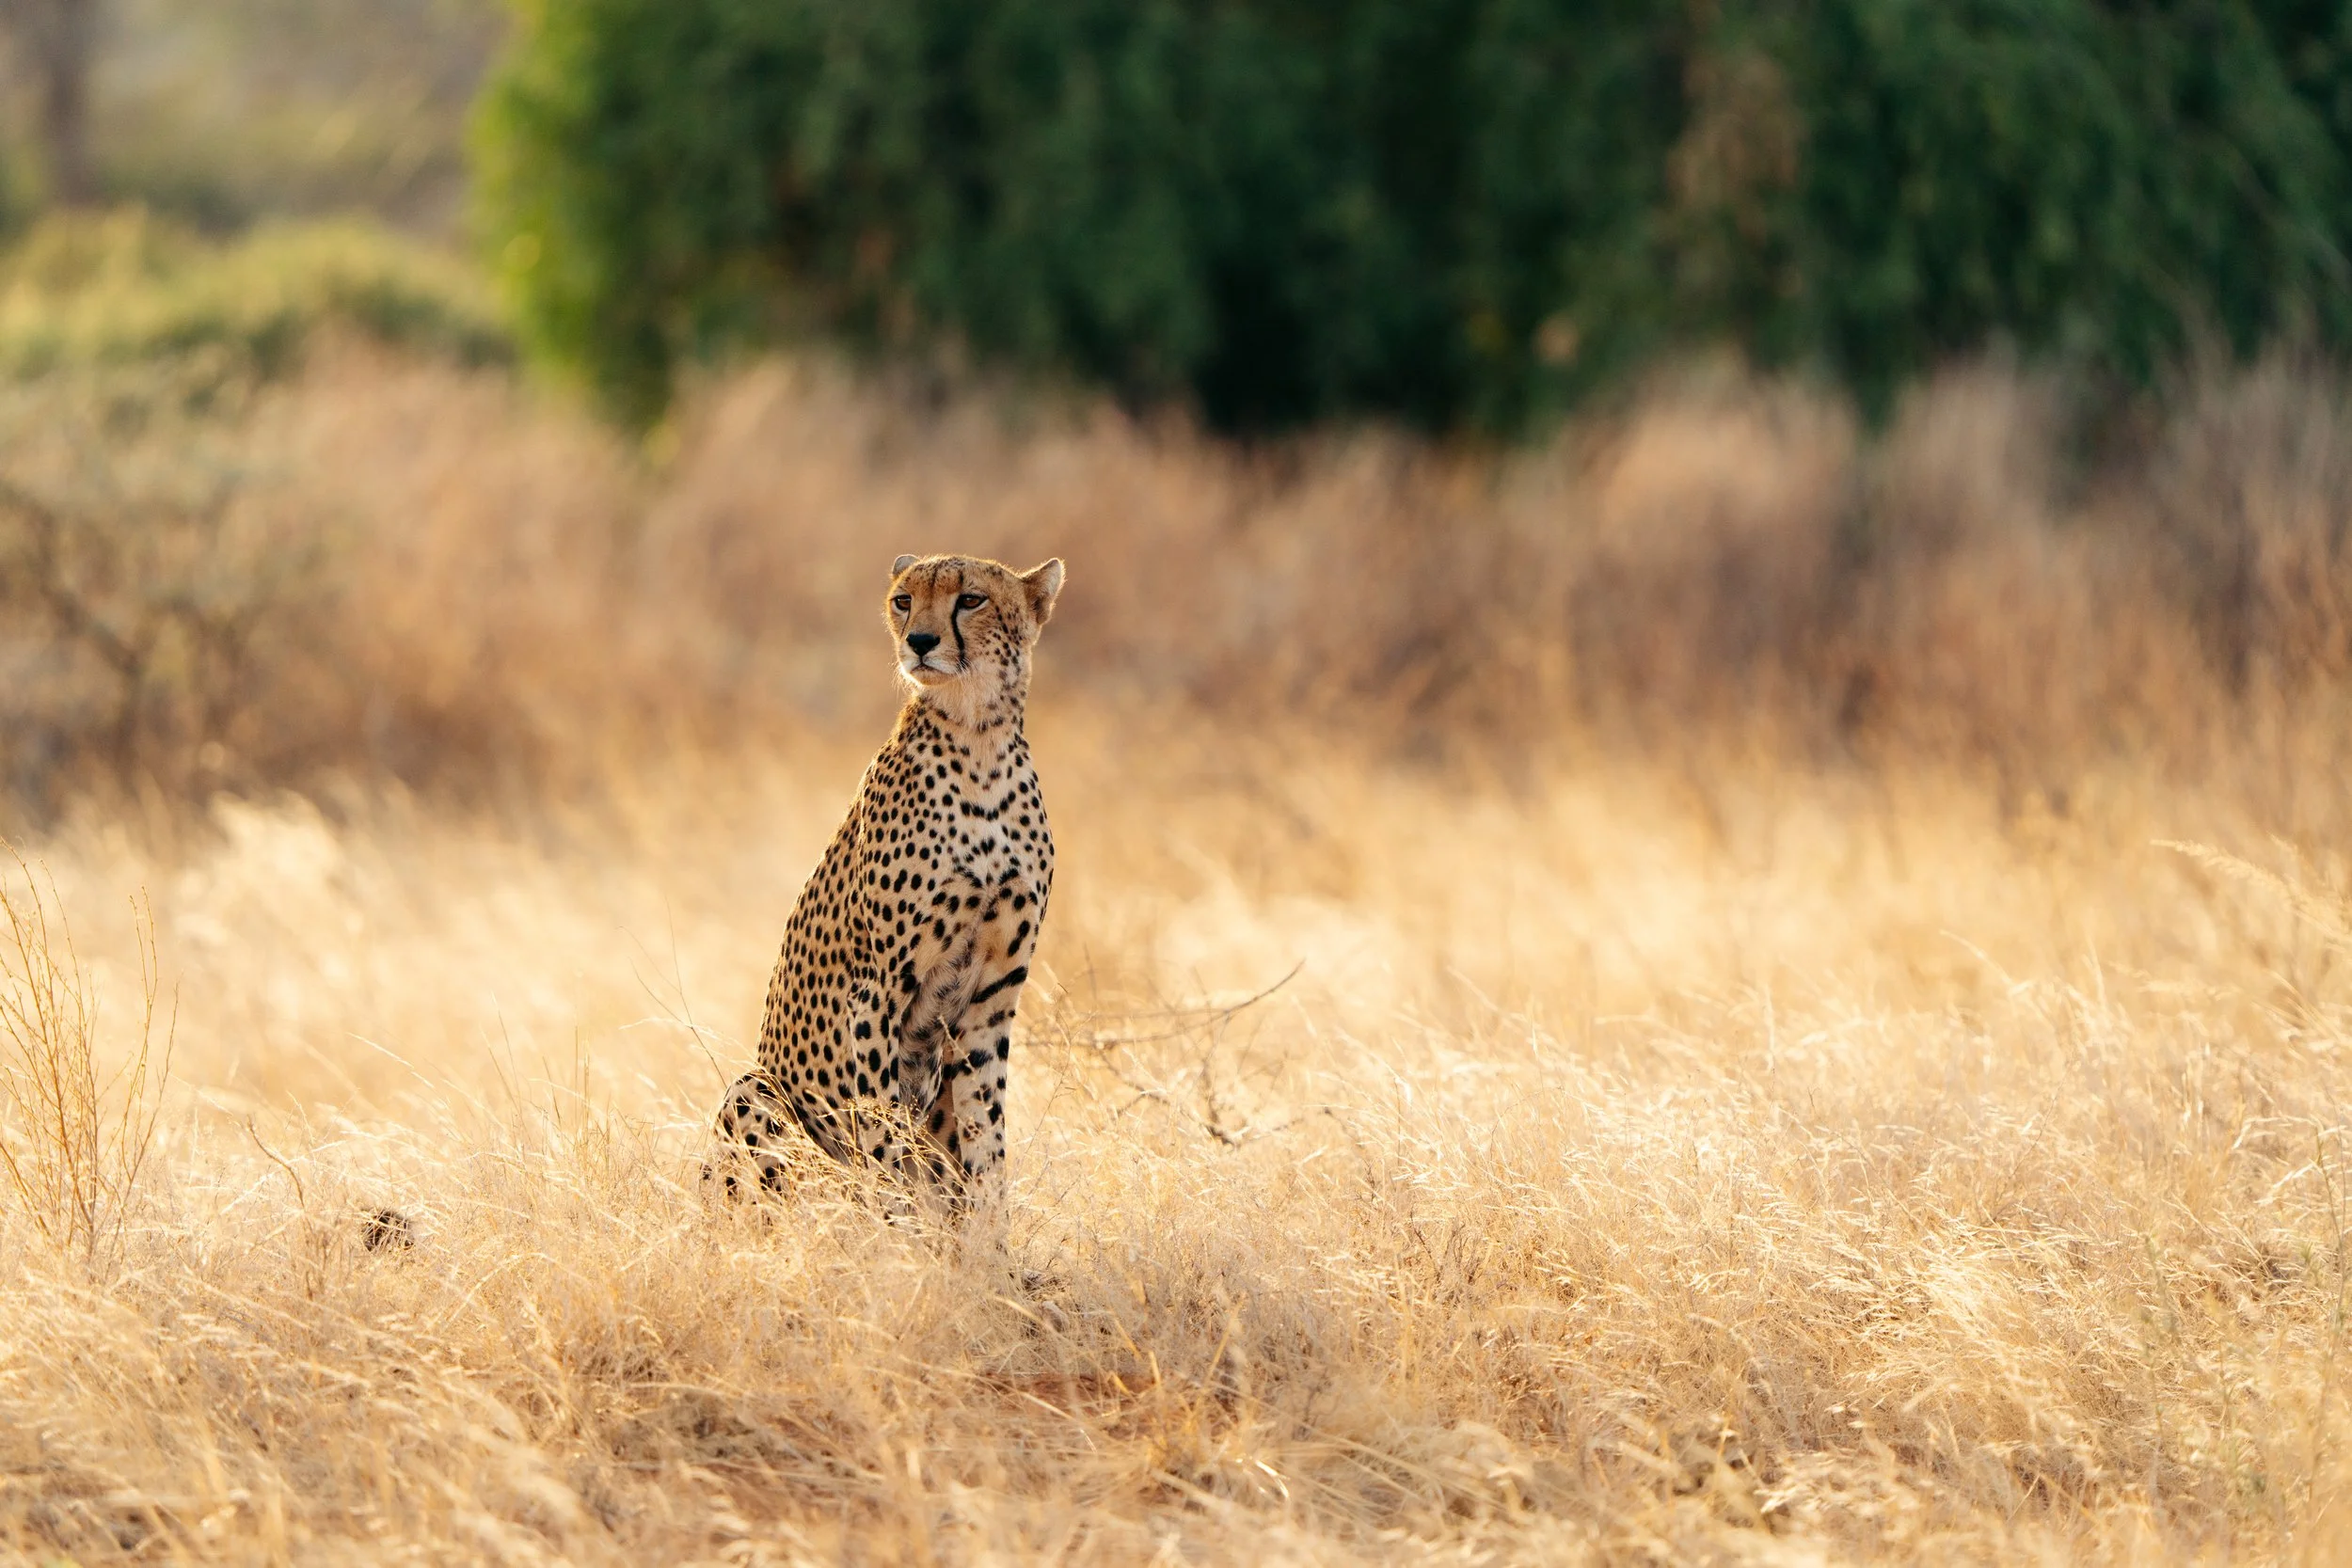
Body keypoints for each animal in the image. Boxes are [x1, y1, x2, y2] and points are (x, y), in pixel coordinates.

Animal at [703, 552, 1064, 1215]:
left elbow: (985, 1142)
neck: (978, 740)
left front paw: (988, 1238)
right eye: (903, 599)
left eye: (970, 599)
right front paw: (902, 1230)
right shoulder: (877, 989)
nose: (919, 641)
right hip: (758, 1088)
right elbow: (886, 1135)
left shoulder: (993, 997)